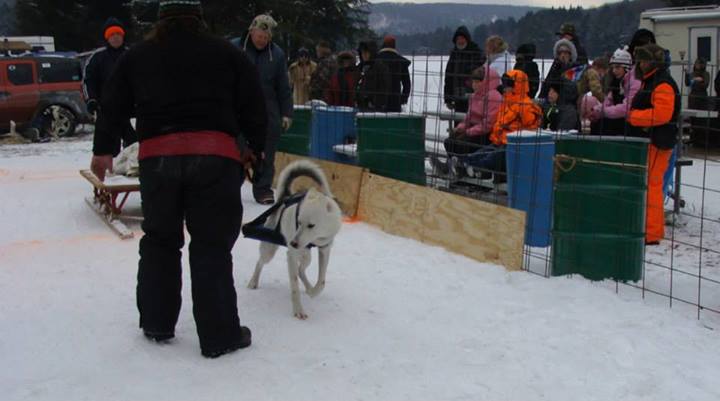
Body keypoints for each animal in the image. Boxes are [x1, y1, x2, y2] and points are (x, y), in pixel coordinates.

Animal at [248, 159, 344, 318]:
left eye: (311, 225)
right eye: (298, 222)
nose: (292, 243)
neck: (315, 239)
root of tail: (285, 196)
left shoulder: (325, 250)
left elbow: (321, 281)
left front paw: (313, 291)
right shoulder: (291, 256)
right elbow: (294, 286)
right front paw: (298, 310)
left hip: (306, 256)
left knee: (301, 270)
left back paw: (308, 287)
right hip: (270, 250)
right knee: (260, 262)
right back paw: (253, 282)